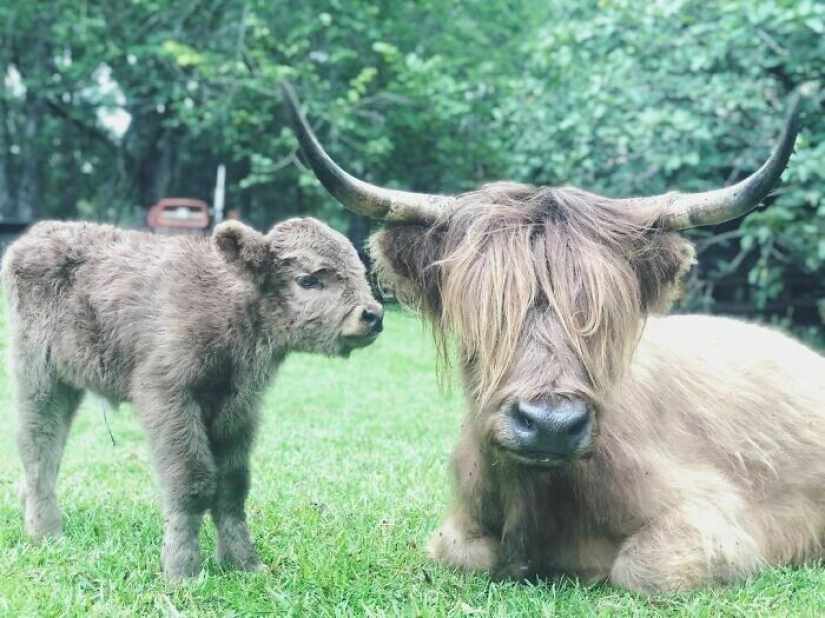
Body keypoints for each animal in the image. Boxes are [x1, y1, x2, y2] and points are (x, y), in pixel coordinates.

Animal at [2, 217, 383, 577]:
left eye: (358, 269)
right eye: (308, 280)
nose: (373, 315)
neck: (227, 301)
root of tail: (35, 235)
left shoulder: (239, 410)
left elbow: (232, 487)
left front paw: (244, 564)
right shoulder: (169, 398)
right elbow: (191, 482)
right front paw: (181, 568)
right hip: (40, 376)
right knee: (39, 445)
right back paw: (45, 531)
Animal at [282, 83, 825, 594]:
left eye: (604, 316)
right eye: (484, 310)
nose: (549, 424)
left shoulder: (720, 521)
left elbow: (644, 570)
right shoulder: (457, 531)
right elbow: (462, 554)